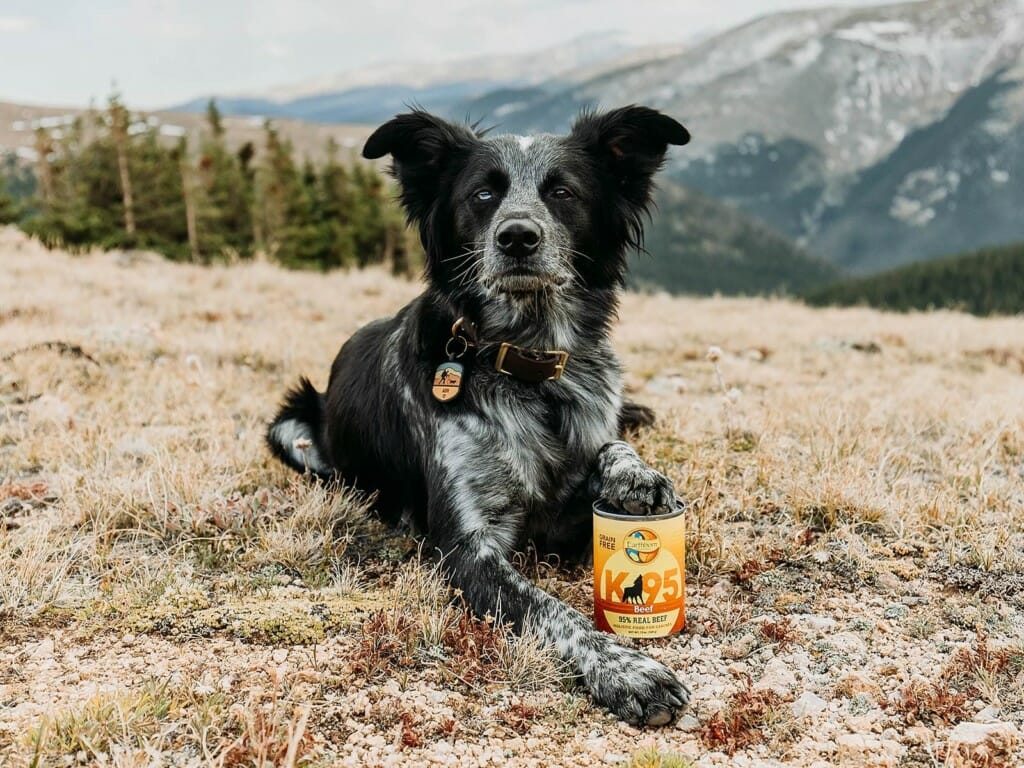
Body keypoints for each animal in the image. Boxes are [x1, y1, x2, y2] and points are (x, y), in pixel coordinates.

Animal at [268, 103, 692, 729]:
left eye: (562, 192)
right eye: (484, 194)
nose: (517, 236)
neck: (527, 366)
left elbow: (610, 446)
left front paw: (636, 478)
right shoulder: (469, 549)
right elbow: (552, 610)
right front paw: (627, 669)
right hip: (292, 429)